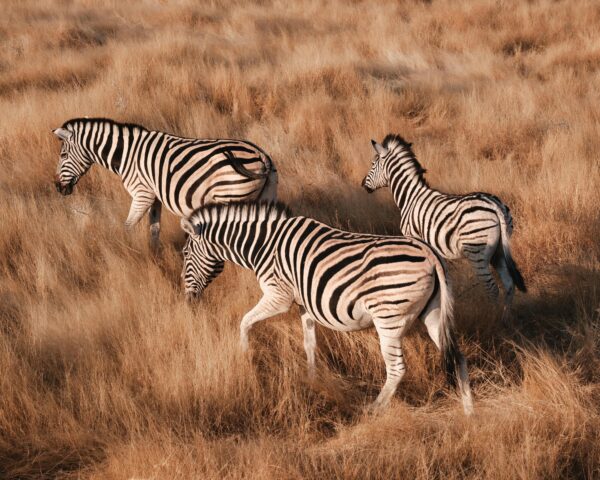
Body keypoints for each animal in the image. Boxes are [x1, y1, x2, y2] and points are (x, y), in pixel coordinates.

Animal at [51, 117, 276, 246]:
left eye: (63, 155)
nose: (58, 188)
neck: (126, 155)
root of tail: (261, 154)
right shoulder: (155, 195)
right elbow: (154, 229)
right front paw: (155, 258)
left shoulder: (142, 193)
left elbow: (128, 226)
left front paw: (126, 251)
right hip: (265, 196)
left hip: (230, 196)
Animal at [178, 201, 474, 414]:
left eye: (184, 253)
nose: (187, 300)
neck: (263, 245)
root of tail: (429, 253)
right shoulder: (304, 304)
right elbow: (309, 343)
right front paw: (313, 380)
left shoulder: (278, 295)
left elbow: (244, 321)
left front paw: (244, 356)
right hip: (433, 313)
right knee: (457, 357)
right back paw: (469, 411)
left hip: (388, 316)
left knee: (397, 369)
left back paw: (372, 410)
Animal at [360, 134, 524, 322]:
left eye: (373, 163)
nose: (363, 184)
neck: (410, 197)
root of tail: (494, 205)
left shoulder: (415, 240)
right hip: (499, 251)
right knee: (509, 284)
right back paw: (506, 320)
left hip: (478, 251)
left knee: (493, 288)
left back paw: (493, 321)